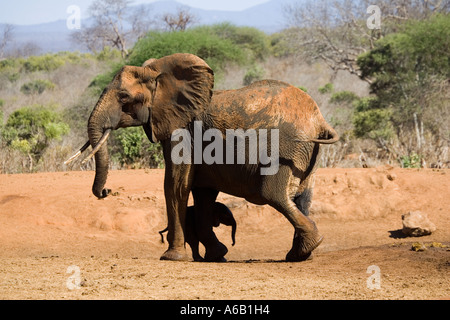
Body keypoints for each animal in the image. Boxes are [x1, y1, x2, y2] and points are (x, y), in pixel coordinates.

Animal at [69, 53, 338, 262]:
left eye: (123, 97)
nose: (106, 192)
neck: (157, 73)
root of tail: (319, 120)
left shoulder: (181, 128)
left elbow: (176, 184)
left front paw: (172, 257)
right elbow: (202, 193)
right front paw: (216, 255)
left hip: (286, 147)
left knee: (273, 194)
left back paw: (309, 245)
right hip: (307, 152)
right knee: (303, 197)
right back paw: (301, 254)